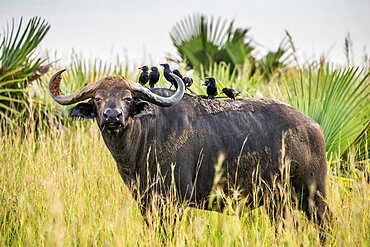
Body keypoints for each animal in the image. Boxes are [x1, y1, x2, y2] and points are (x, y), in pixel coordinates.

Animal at [48, 70, 330, 232]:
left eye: (127, 98)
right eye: (97, 98)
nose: (112, 116)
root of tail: (313, 127)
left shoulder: (173, 202)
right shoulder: (146, 203)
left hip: (313, 196)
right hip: (277, 202)